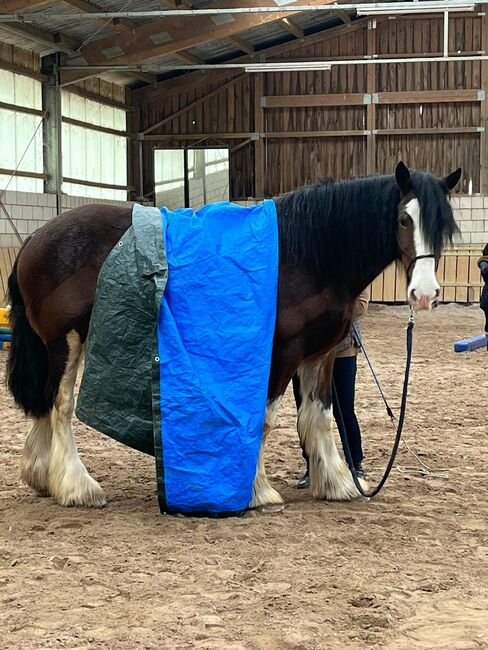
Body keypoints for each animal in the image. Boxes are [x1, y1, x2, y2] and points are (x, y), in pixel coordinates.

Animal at [5, 161, 460, 506]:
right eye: (403, 218)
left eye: (444, 225)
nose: (424, 294)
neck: (311, 254)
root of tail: (34, 240)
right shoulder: (283, 351)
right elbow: (267, 420)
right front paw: (257, 491)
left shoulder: (322, 353)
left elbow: (321, 416)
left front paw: (336, 483)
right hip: (66, 341)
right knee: (60, 404)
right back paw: (78, 487)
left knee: (44, 401)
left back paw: (43, 477)